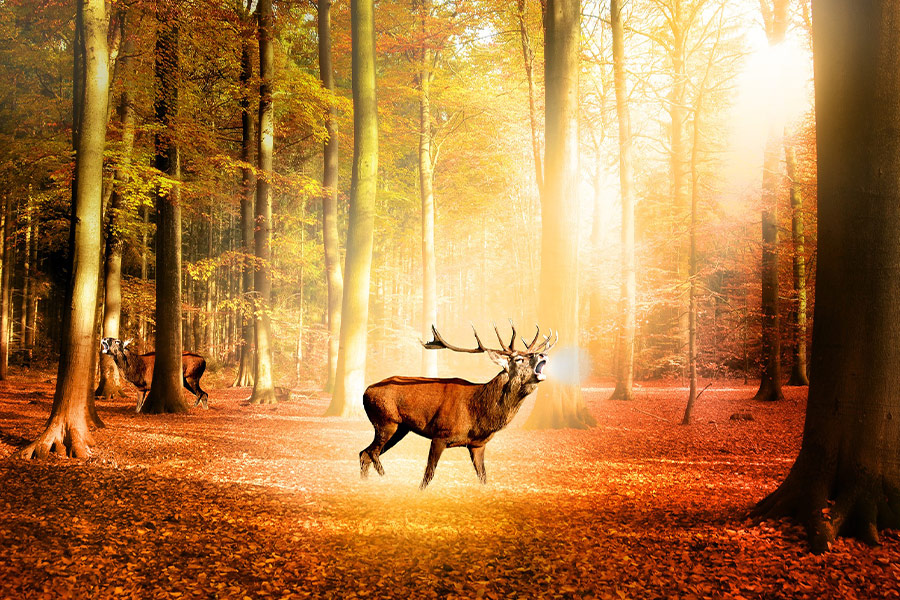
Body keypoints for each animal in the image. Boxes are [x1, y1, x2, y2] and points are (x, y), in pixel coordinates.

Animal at [360, 323, 556, 489]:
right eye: (519, 359)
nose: (543, 354)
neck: (477, 413)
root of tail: (365, 392)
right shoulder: (440, 434)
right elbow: (428, 474)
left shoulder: (478, 445)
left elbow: (483, 478)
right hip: (385, 421)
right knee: (371, 452)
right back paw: (386, 480)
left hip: (401, 428)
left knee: (364, 453)